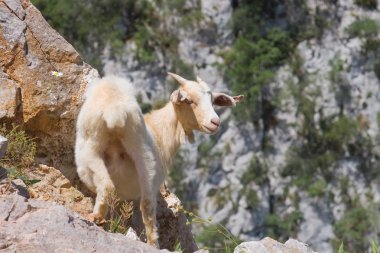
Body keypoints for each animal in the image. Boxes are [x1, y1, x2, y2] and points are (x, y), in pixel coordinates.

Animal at [75, 72, 243, 247]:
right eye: (189, 101)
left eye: (212, 101)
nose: (215, 122)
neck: (159, 131)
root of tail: (114, 109)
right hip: (145, 160)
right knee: (146, 207)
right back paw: (152, 243)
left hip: (89, 150)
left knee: (106, 185)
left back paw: (96, 218)